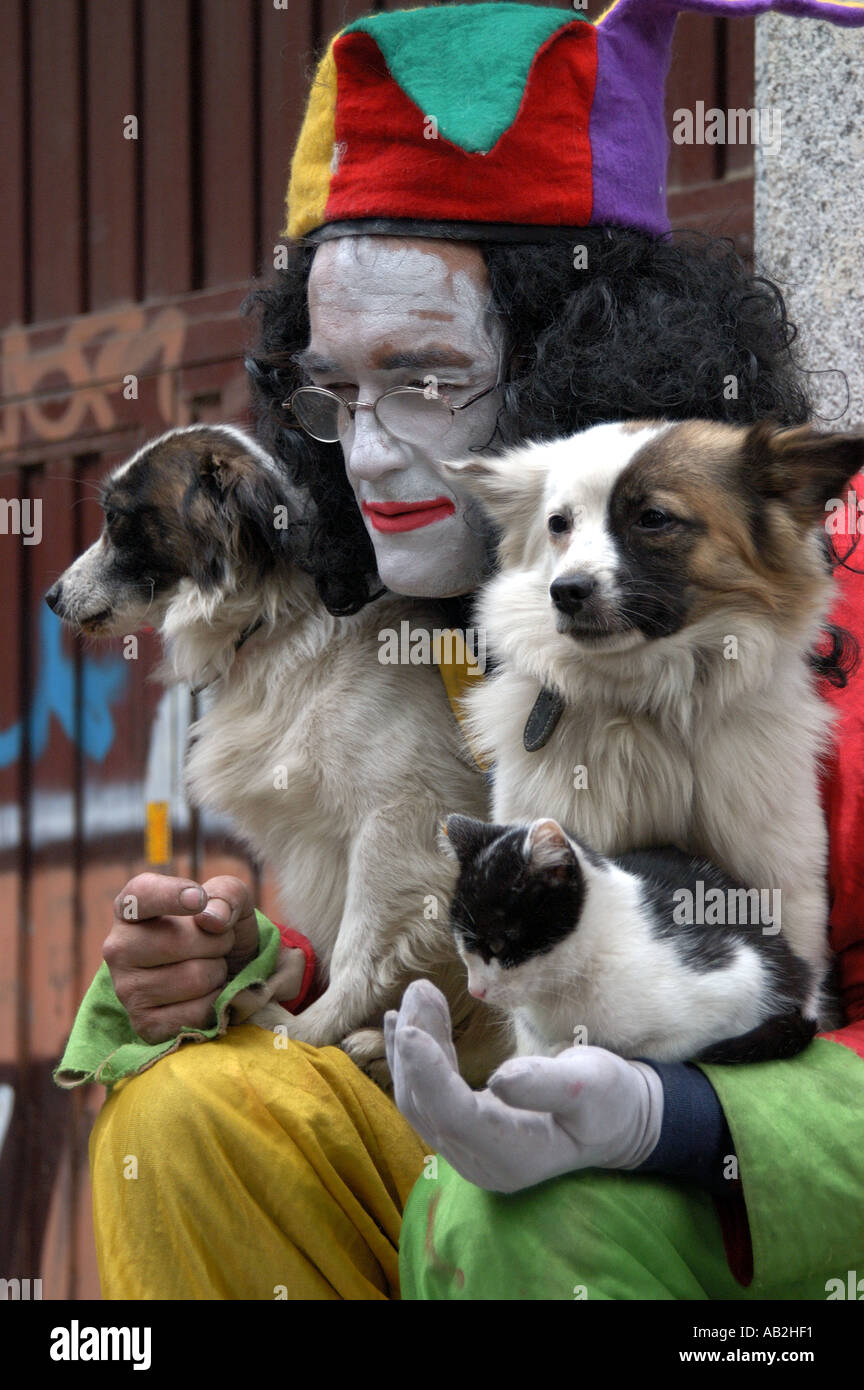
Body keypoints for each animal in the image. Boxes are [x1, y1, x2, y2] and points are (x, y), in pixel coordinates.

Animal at [47, 422, 505, 1084]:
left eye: (118, 520)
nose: (51, 598)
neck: (275, 620)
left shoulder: (405, 818)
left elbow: (359, 948)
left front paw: (307, 1030)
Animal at [447, 811, 816, 1061]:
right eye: (462, 943)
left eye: (498, 942)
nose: (475, 990)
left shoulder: (739, 975)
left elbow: (647, 1050)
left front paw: (568, 1048)